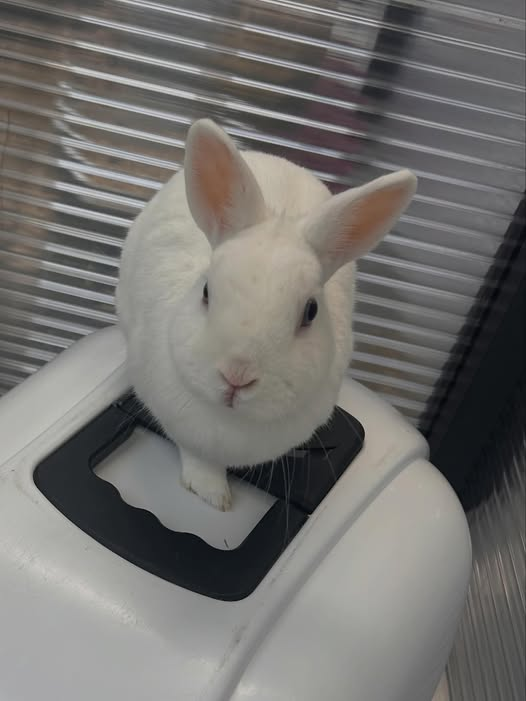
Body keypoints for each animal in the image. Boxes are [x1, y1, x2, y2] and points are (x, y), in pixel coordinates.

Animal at [116, 119, 417, 511]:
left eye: (310, 312)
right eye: (207, 291)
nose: (236, 376)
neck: (230, 421)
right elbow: (197, 458)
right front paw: (212, 495)